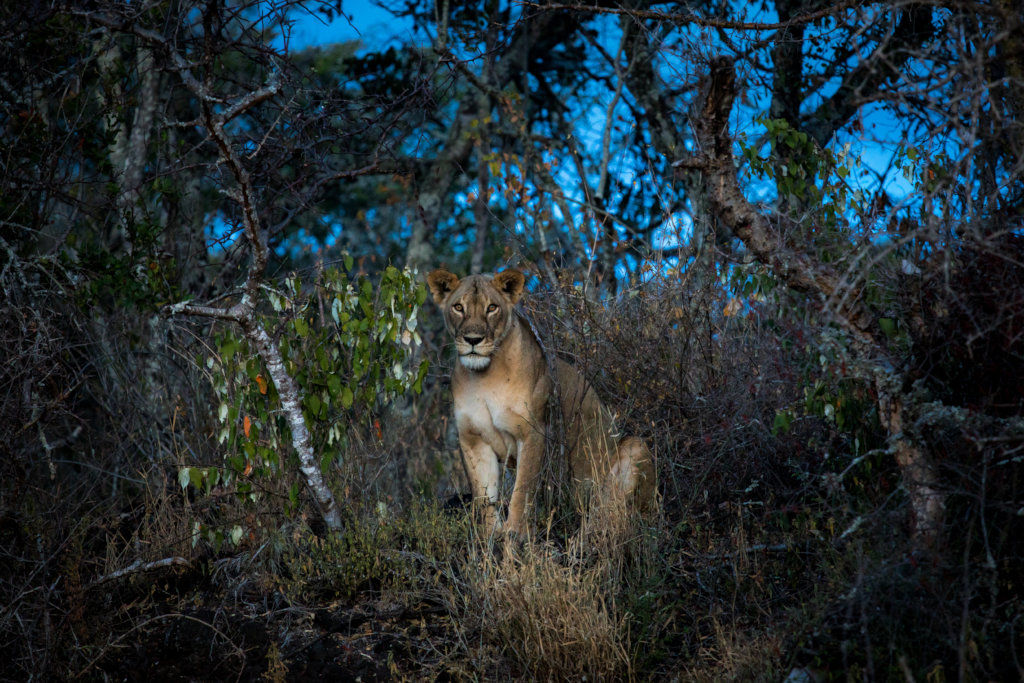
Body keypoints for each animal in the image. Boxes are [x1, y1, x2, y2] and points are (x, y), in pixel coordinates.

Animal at [427, 267, 655, 538]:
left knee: (613, 514)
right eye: (458, 307)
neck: (484, 377)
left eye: (492, 307)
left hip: (634, 448)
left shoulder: (533, 431)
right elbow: (484, 497)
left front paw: (515, 533)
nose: (473, 339)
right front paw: (491, 535)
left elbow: (522, 490)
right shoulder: (473, 439)